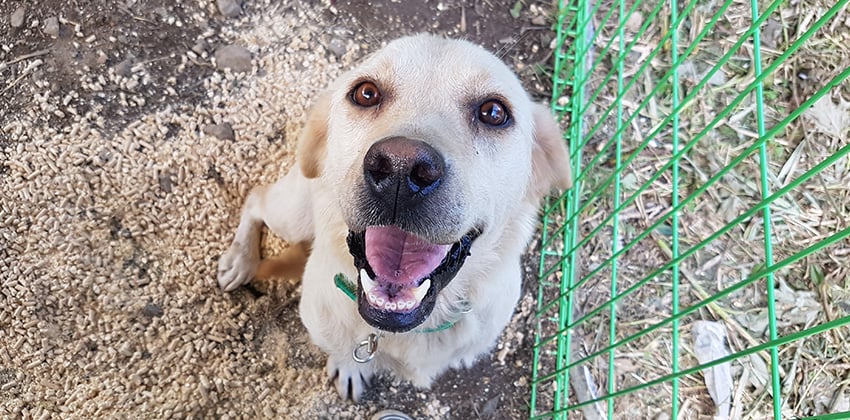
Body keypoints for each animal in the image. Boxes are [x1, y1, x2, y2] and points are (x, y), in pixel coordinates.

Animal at [217, 34, 568, 402]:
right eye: (366, 93)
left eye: (494, 112)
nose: (401, 167)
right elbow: (343, 353)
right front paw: (349, 367)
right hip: (293, 215)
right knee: (255, 197)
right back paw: (239, 261)